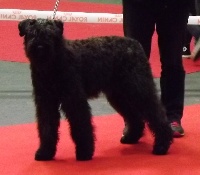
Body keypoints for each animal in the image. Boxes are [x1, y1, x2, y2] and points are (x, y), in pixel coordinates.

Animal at [18, 18, 173, 161]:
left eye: (51, 34)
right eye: (32, 33)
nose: (40, 46)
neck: (52, 65)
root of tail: (135, 44)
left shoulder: (74, 100)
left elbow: (81, 125)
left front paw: (84, 152)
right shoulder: (46, 102)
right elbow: (47, 127)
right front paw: (45, 152)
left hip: (139, 89)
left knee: (156, 114)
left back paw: (162, 145)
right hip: (119, 94)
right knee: (134, 116)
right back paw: (131, 137)